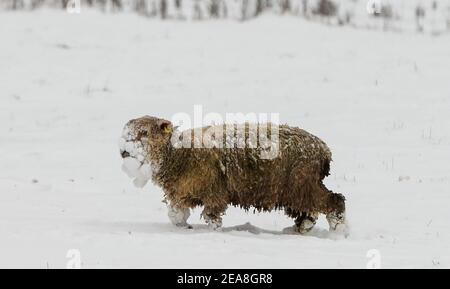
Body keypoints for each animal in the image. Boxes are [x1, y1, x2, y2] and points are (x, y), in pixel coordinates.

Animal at [118, 113, 346, 233]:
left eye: (144, 133)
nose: (123, 151)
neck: (179, 155)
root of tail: (324, 150)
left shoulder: (215, 190)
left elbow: (211, 215)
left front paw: (215, 230)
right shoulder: (183, 191)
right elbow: (175, 214)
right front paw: (182, 226)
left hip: (301, 183)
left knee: (334, 200)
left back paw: (338, 229)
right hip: (299, 188)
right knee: (311, 210)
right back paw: (303, 226)